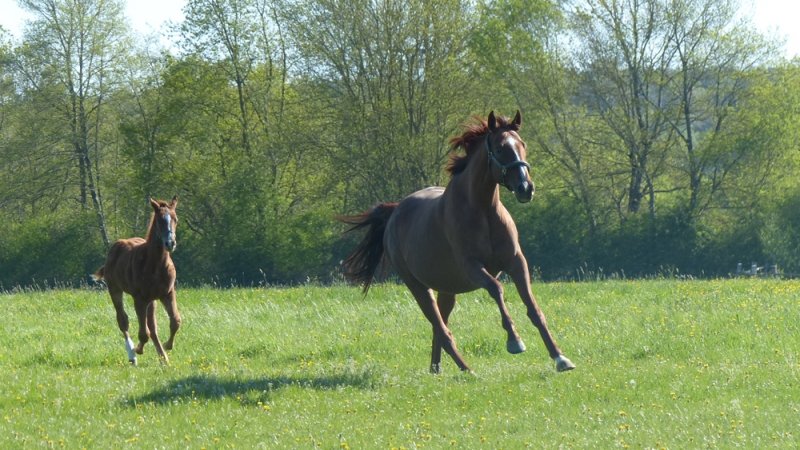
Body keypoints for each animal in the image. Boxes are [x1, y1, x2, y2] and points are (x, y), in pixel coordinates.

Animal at [93, 196, 181, 366]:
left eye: (175, 219)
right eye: (159, 221)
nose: (170, 243)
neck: (156, 265)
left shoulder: (167, 293)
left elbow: (175, 321)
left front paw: (167, 346)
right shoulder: (139, 298)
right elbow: (143, 333)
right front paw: (138, 350)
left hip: (152, 300)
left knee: (152, 327)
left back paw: (163, 358)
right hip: (115, 289)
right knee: (123, 321)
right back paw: (132, 355)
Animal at [339, 111, 575, 373]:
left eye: (522, 145)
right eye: (501, 148)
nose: (526, 188)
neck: (483, 211)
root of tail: (395, 212)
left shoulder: (516, 262)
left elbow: (533, 308)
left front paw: (560, 358)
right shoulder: (472, 267)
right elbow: (496, 288)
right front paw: (515, 341)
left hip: (446, 288)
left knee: (439, 327)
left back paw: (437, 369)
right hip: (418, 287)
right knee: (441, 329)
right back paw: (467, 370)